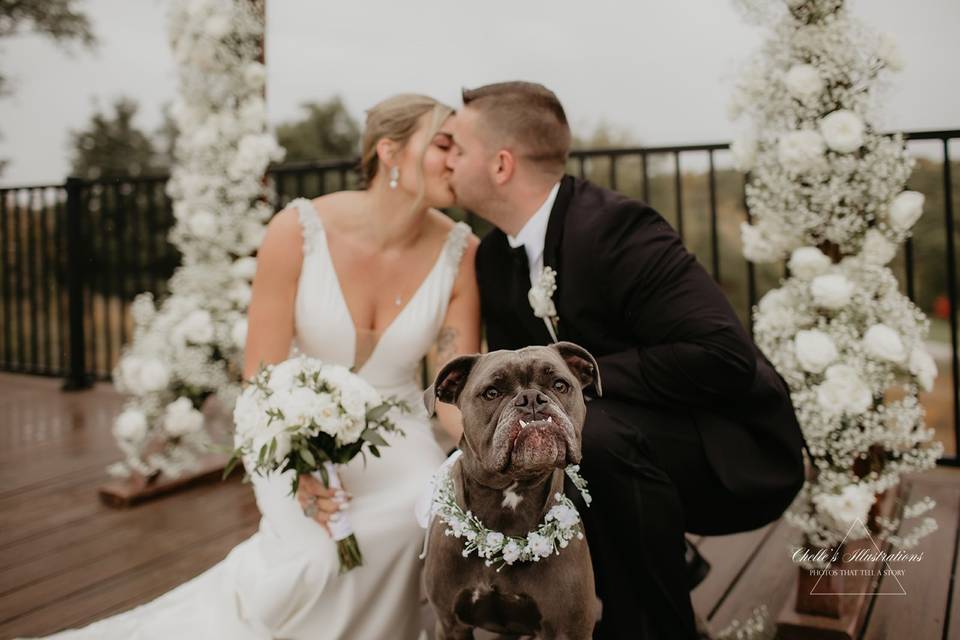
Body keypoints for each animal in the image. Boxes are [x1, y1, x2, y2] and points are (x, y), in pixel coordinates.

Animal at [424, 342, 604, 640]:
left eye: (559, 384)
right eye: (491, 393)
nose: (531, 399)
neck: (511, 491)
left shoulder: (570, 628)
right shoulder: (450, 624)